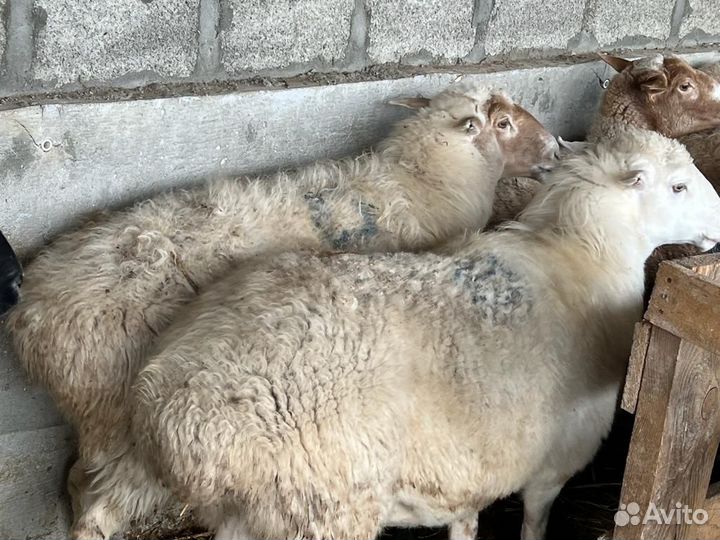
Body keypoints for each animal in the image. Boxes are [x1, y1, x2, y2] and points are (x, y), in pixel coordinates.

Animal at [6, 82, 558, 539]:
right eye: (503, 123)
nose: (556, 148)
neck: (419, 182)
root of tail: (31, 309)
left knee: (78, 484)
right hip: (117, 416)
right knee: (100, 504)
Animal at [125, 127, 720, 540]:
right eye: (678, 186)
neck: (582, 257)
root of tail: (165, 402)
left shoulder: (471, 475)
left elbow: (465, 519)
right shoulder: (553, 466)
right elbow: (534, 523)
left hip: (247, 515)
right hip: (320, 509)